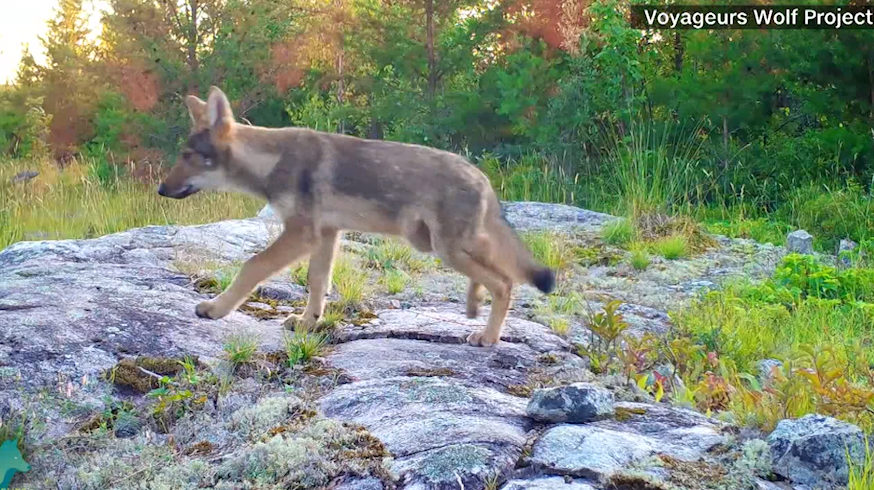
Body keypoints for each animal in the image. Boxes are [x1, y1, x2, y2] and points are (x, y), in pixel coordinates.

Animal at [158, 86, 555, 346]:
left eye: (188, 156)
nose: (161, 190)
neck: (271, 161)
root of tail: (482, 177)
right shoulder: (327, 234)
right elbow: (317, 284)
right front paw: (307, 323)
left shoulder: (301, 234)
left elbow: (251, 266)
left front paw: (215, 308)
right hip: (445, 246)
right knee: (503, 274)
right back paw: (474, 307)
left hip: (447, 249)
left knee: (505, 282)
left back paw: (487, 337)